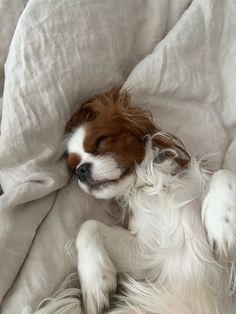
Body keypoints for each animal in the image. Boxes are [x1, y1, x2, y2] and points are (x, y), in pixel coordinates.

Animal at [65, 88, 236, 314]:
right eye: (72, 168)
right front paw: (96, 284)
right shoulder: (143, 253)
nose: (81, 171)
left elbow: (223, 173)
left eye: (100, 141)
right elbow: (88, 225)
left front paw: (222, 228)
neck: (149, 185)